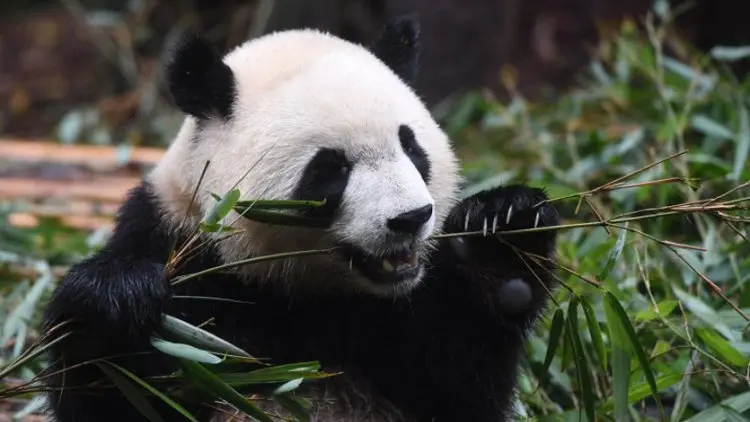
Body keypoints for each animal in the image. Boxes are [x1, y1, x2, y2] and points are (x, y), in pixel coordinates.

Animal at [41, 14, 560, 422]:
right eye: (329, 170)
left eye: (412, 147)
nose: (410, 218)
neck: (306, 293)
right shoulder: (178, 247)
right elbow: (119, 393)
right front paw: (114, 299)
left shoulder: (404, 314)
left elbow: (458, 387)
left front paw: (503, 232)